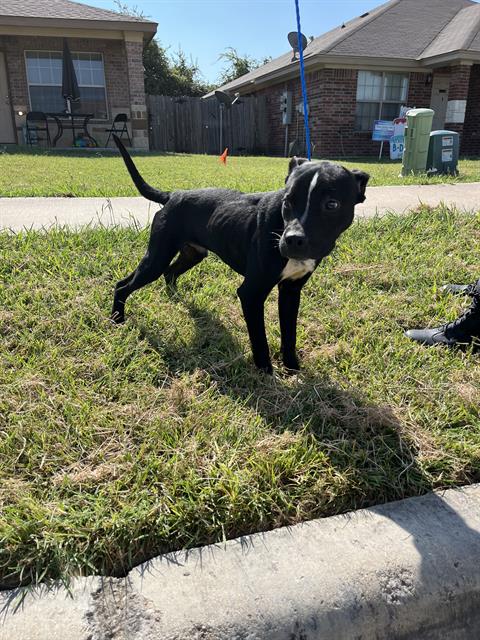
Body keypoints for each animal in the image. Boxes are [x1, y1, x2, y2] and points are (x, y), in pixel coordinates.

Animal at [111, 136, 368, 376]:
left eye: (332, 204)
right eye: (287, 201)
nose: (293, 239)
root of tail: (173, 195)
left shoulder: (291, 290)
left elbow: (290, 335)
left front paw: (292, 367)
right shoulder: (251, 293)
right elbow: (260, 339)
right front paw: (266, 372)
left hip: (192, 254)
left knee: (170, 272)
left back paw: (175, 299)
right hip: (157, 257)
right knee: (123, 285)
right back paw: (116, 319)